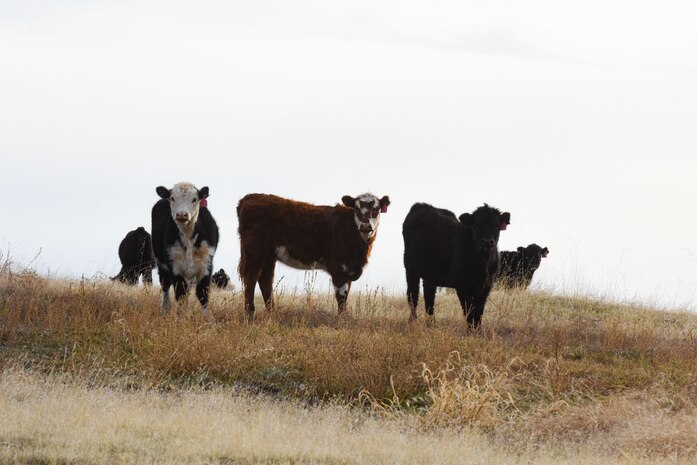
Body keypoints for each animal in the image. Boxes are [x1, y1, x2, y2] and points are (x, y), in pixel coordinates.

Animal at [151, 182, 219, 314]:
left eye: (194, 199)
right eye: (172, 198)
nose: (182, 214)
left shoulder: (207, 264)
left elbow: (203, 294)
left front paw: (207, 317)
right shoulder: (175, 266)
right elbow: (180, 294)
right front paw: (181, 316)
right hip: (162, 265)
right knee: (165, 287)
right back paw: (165, 310)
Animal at [237, 192, 390, 319]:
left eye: (376, 209)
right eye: (357, 209)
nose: (365, 226)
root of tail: (249, 197)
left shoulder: (349, 268)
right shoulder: (339, 268)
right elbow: (341, 296)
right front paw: (341, 319)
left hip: (268, 256)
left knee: (265, 280)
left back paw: (273, 313)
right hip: (255, 252)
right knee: (251, 278)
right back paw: (250, 314)